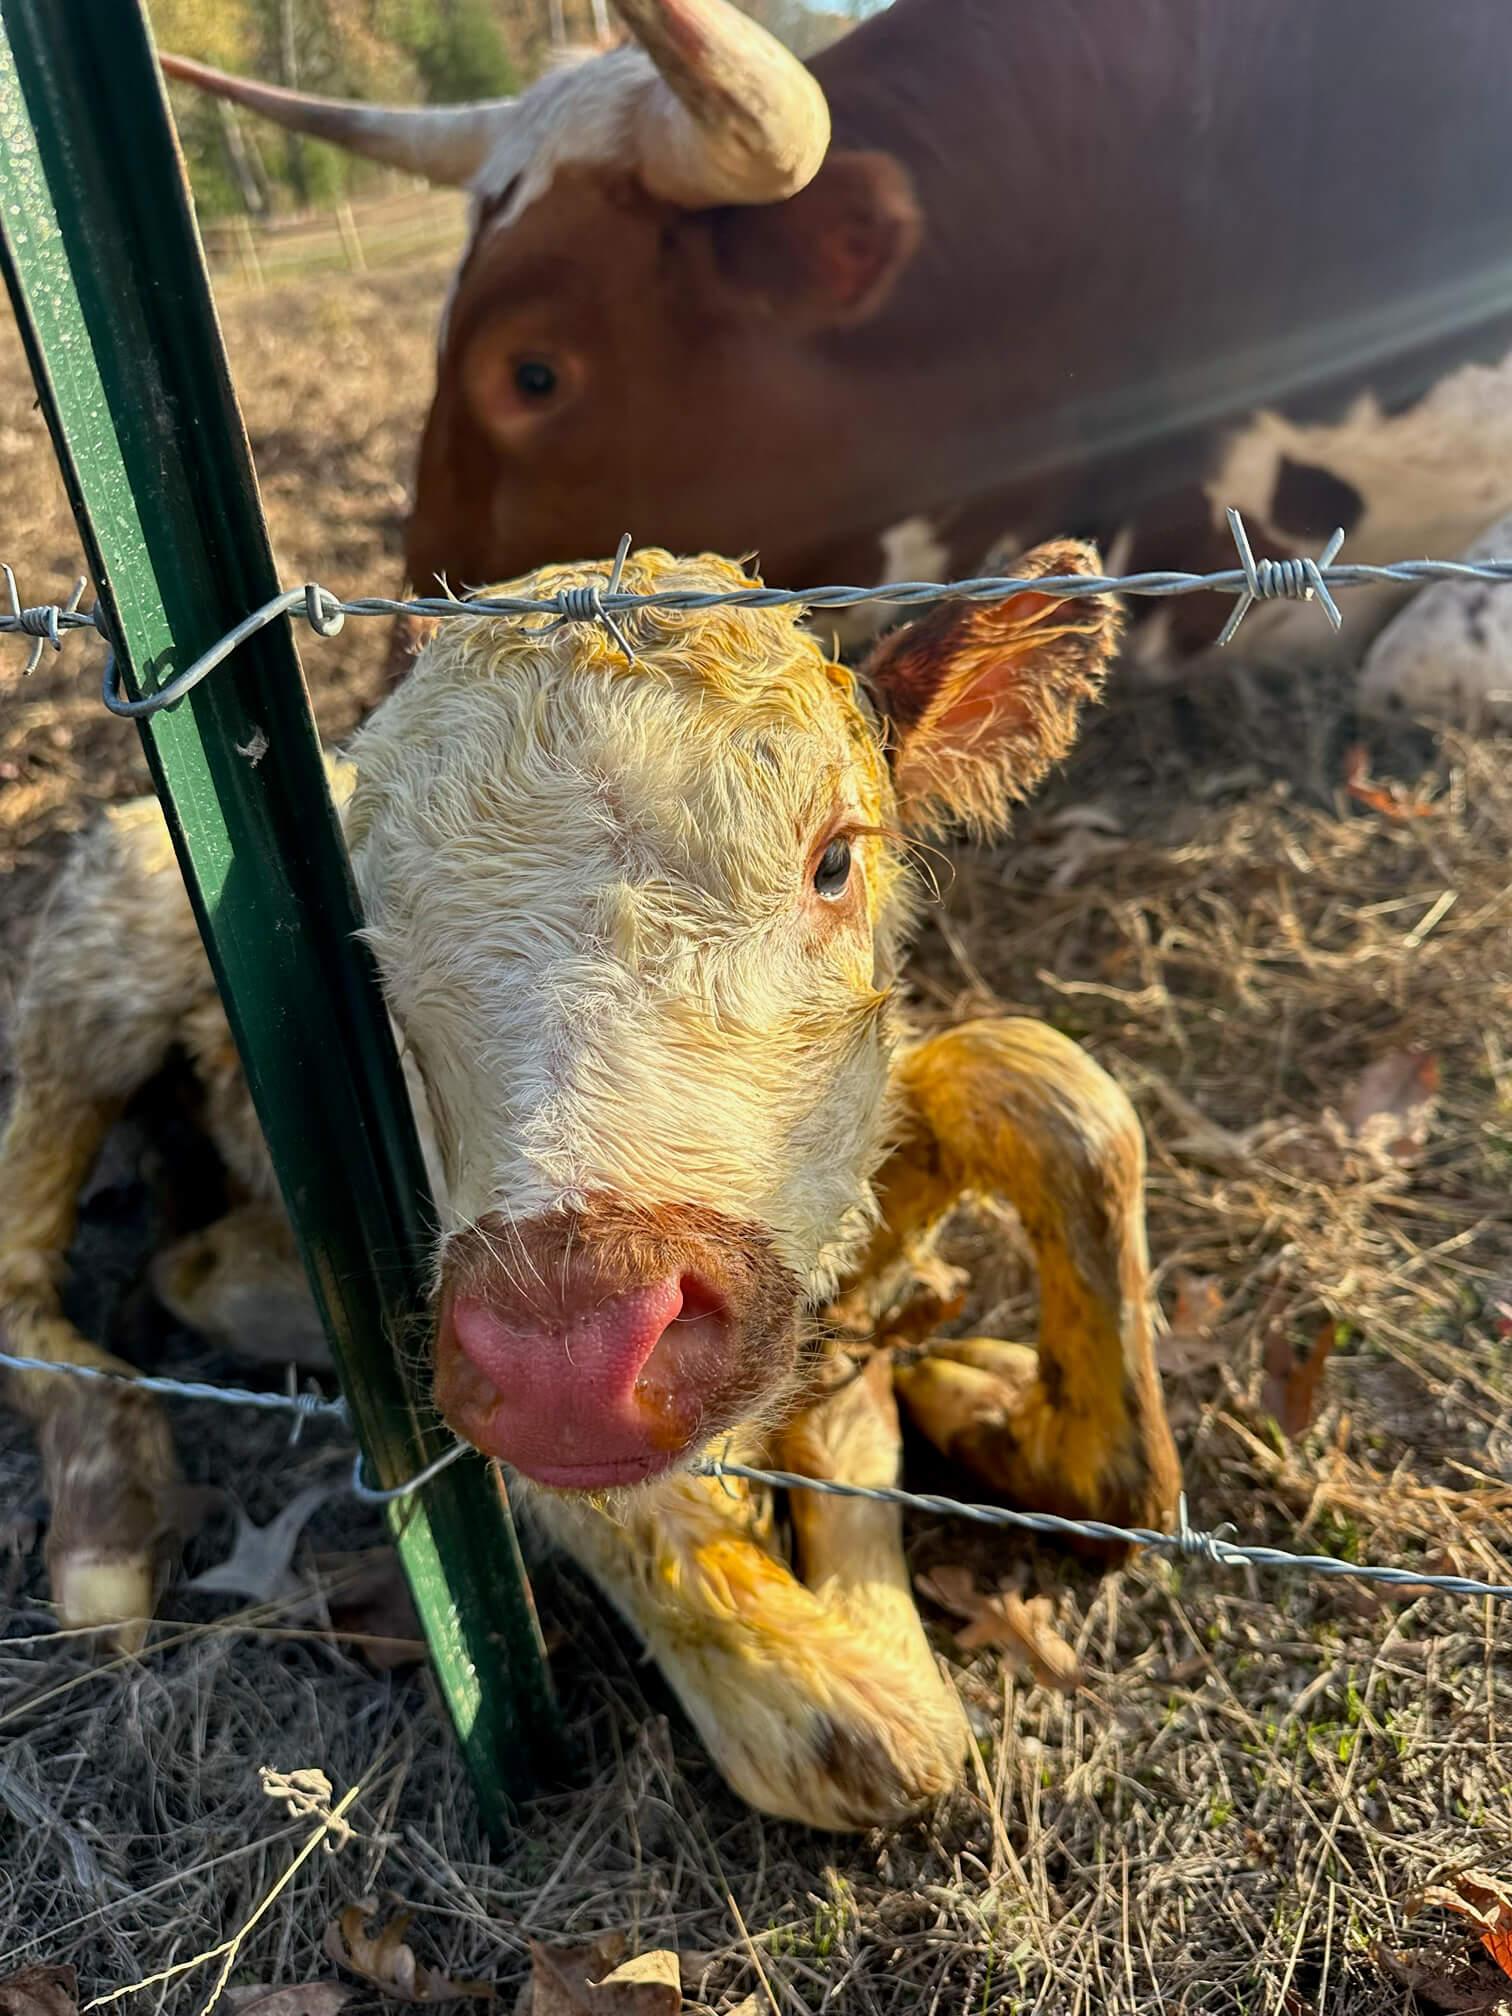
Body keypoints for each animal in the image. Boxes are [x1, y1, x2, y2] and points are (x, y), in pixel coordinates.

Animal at [0, 544, 1179, 1829]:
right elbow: (883, 1741)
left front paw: (1013, 1418)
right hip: (100, 961)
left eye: (833, 861)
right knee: (32, 1269)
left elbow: (1041, 1079)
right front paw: (878, 1398)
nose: (571, 1354)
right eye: (372, 945)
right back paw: (110, 1523)